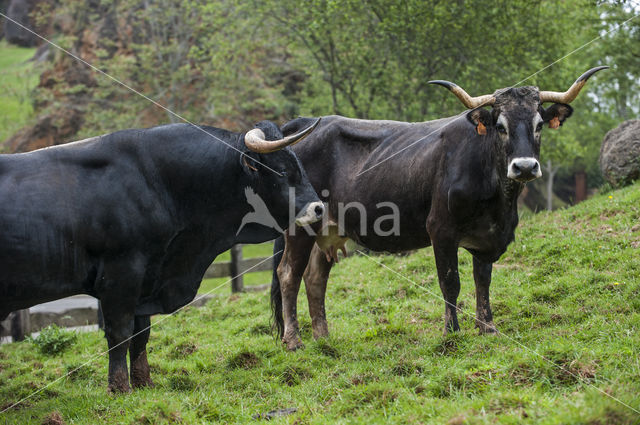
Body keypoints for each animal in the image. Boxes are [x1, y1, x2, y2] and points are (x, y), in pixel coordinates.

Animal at [1, 119, 324, 390]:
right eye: (281, 170)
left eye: (299, 164)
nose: (319, 208)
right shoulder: (121, 274)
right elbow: (119, 334)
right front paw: (120, 388)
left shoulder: (146, 278)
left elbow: (140, 335)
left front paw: (144, 382)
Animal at [268, 66, 604, 350]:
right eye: (500, 126)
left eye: (539, 125)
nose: (524, 167)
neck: (498, 199)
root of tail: (304, 124)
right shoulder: (441, 230)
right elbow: (450, 282)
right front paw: (451, 332)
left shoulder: (489, 237)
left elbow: (483, 280)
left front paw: (488, 327)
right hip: (300, 228)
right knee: (289, 274)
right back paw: (294, 341)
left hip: (328, 229)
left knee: (314, 277)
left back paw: (324, 339)